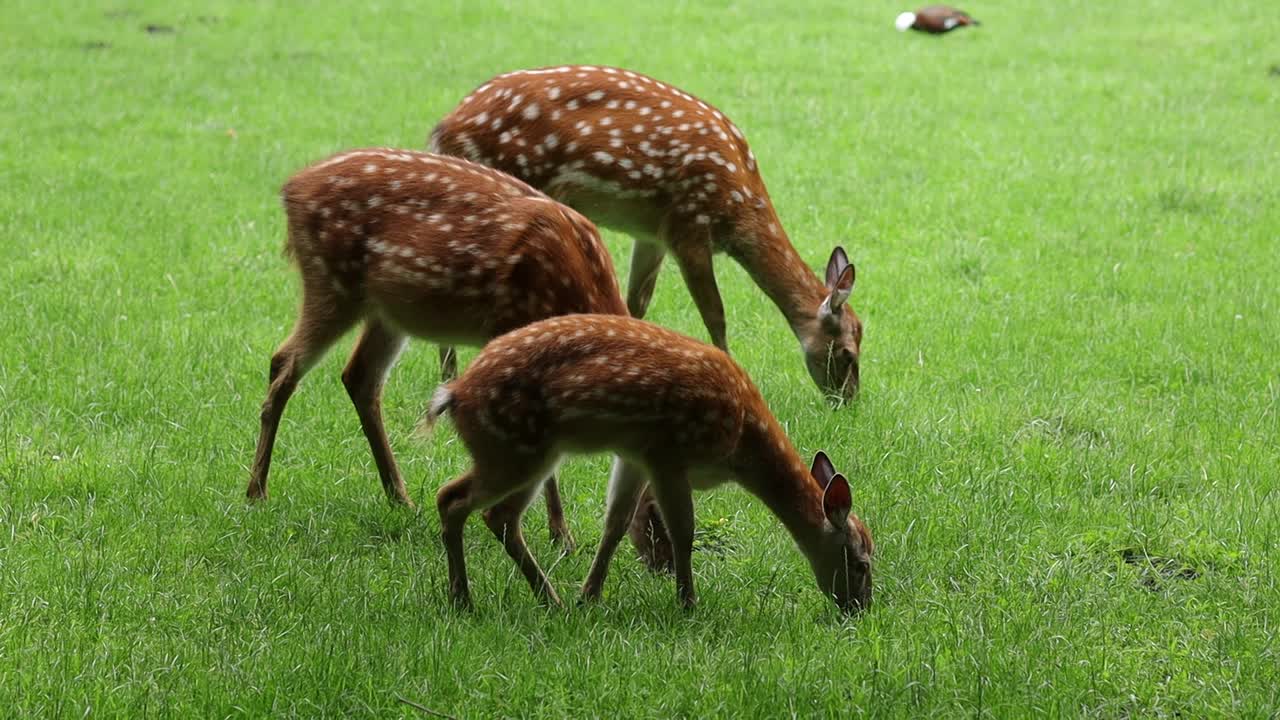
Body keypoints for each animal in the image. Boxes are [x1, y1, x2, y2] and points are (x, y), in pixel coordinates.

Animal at [244, 148, 629, 545]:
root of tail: (291, 188)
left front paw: (559, 533)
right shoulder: (512, 328)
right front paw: (561, 535)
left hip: (387, 310)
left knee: (359, 377)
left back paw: (400, 498)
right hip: (332, 283)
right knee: (284, 363)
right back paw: (256, 492)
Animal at [424, 313, 875, 609]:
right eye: (860, 563)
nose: (858, 609)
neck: (741, 443)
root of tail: (454, 395)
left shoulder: (634, 455)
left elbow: (616, 523)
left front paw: (589, 597)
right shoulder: (668, 454)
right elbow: (683, 531)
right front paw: (688, 604)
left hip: (529, 453)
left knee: (497, 516)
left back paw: (549, 599)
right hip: (514, 449)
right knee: (453, 498)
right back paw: (464, 599)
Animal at [427, 65, 860, 399]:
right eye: (848, 353)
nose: (847, 401)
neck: (739, 204)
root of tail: (443, 130)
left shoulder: (653, 233)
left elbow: (637, 303)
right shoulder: (689, 224)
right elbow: (715, 314)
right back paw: (454, 377)